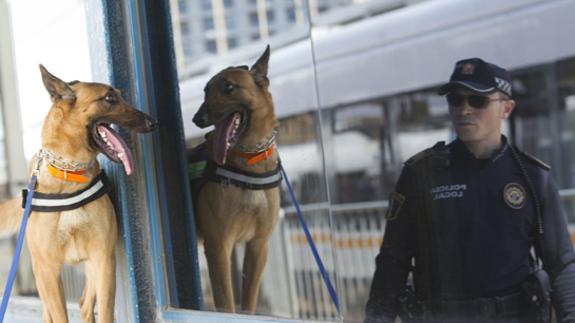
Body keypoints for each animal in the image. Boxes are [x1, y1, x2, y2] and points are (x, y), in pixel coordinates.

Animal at [0, 66, 156, 323]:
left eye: (120, 95)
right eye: (109, 98)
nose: (153, 122)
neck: (69, 174)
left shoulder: (103, 260)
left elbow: (105, 312)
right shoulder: (48, 270)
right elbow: (59, 316)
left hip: (92, 269)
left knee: (84, 304)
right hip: (41, 276)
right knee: (49, 312)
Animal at [191, 45, 282, 314]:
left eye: (229, 87)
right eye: (205, 91)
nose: (197, 118)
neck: (249, 158)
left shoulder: (257, 247)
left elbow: (248, 302)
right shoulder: (218, 247)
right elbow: (226, 302)